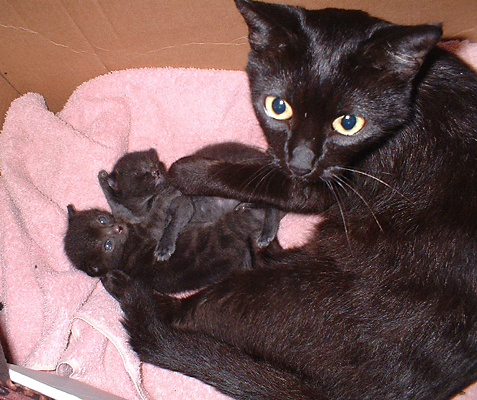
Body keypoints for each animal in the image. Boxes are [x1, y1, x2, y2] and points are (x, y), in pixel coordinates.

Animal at [102, 0, 476, 400]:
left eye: (349, 123)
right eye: (277, 106)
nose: (300, 161)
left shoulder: (321, 185)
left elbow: (258, 179)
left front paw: (187, 170)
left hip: (269, 292)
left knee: (177, 320)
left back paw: (124, 286)